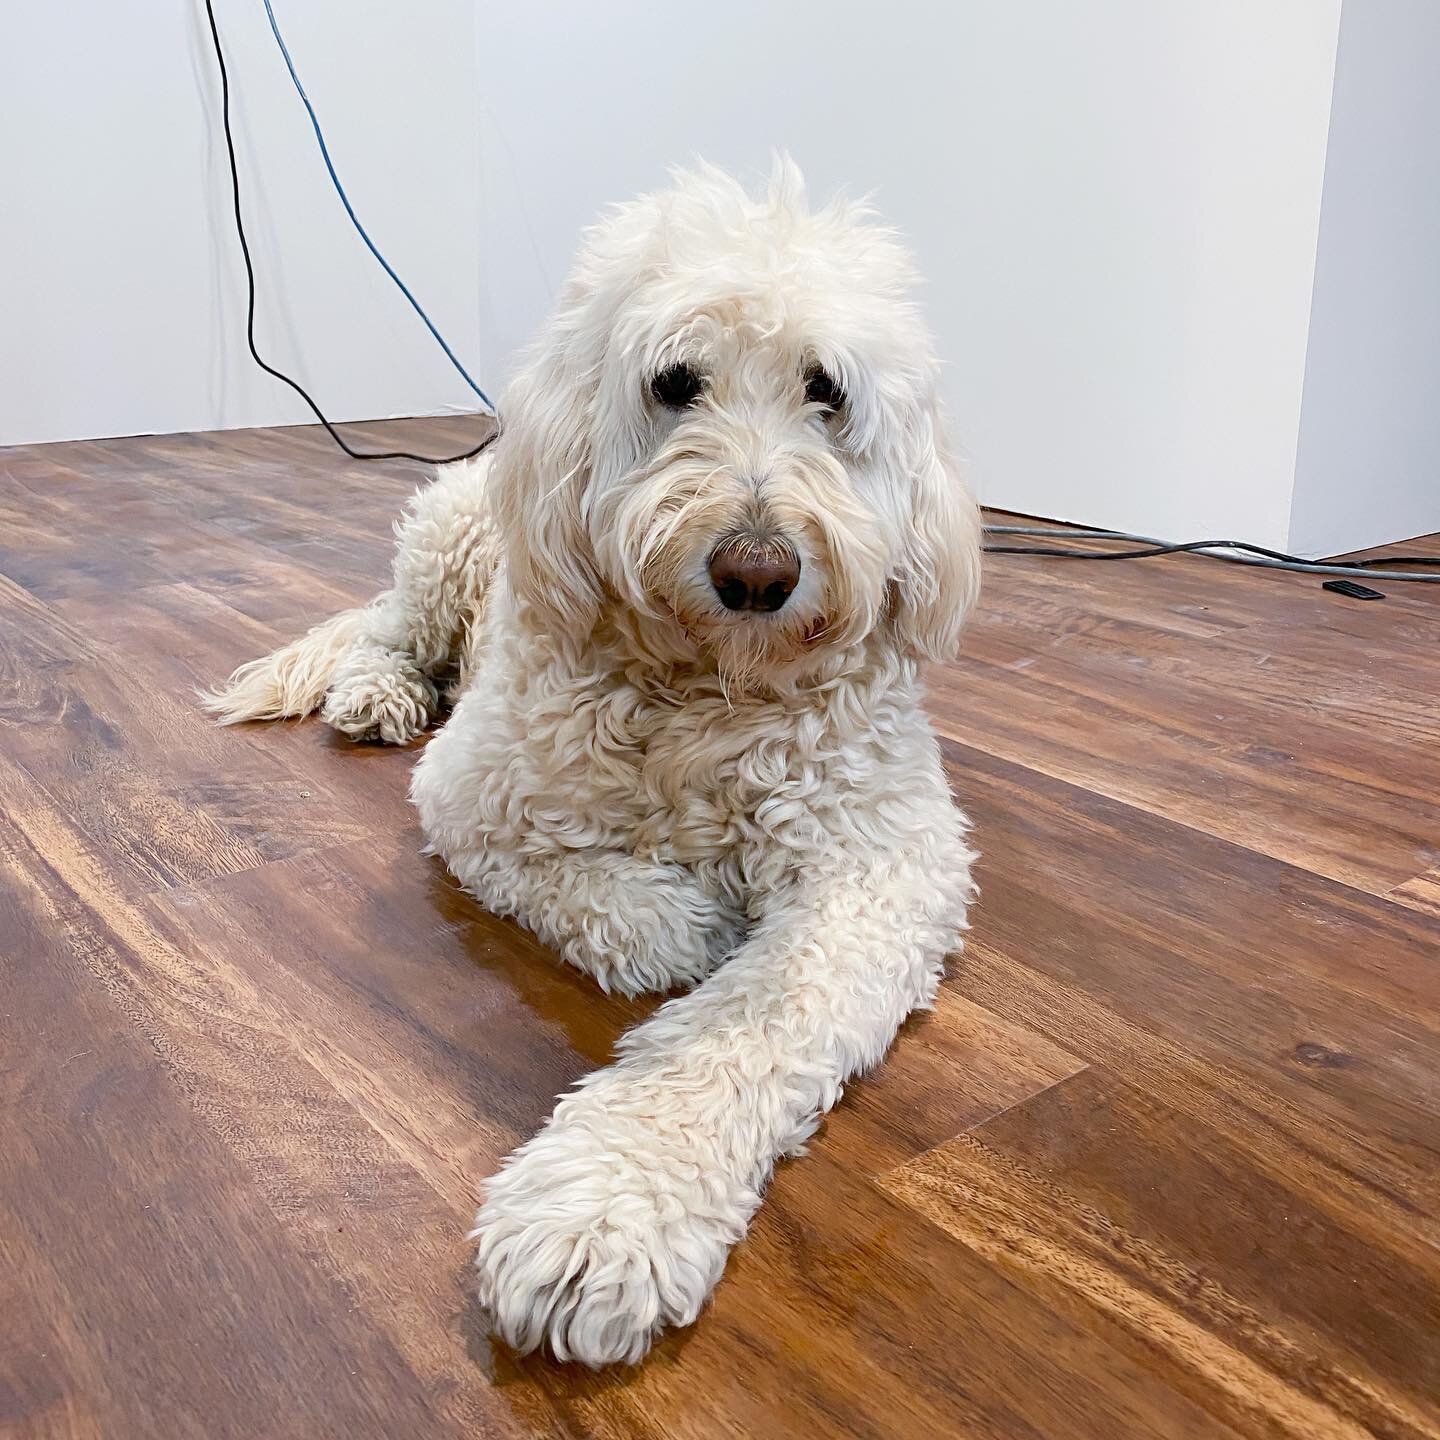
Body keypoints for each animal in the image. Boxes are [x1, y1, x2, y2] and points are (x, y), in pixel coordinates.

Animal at [208, 163, 984, 1365]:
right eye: (674, 382)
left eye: (827, 392)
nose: (757, 570)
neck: (709, 689)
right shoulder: (476, 792)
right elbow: (601, 898)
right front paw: (685, 922)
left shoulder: (883, 866)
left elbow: (747, 1030)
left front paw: (605, 1215)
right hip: (446, 544)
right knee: (386, 628)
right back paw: (377, 691)